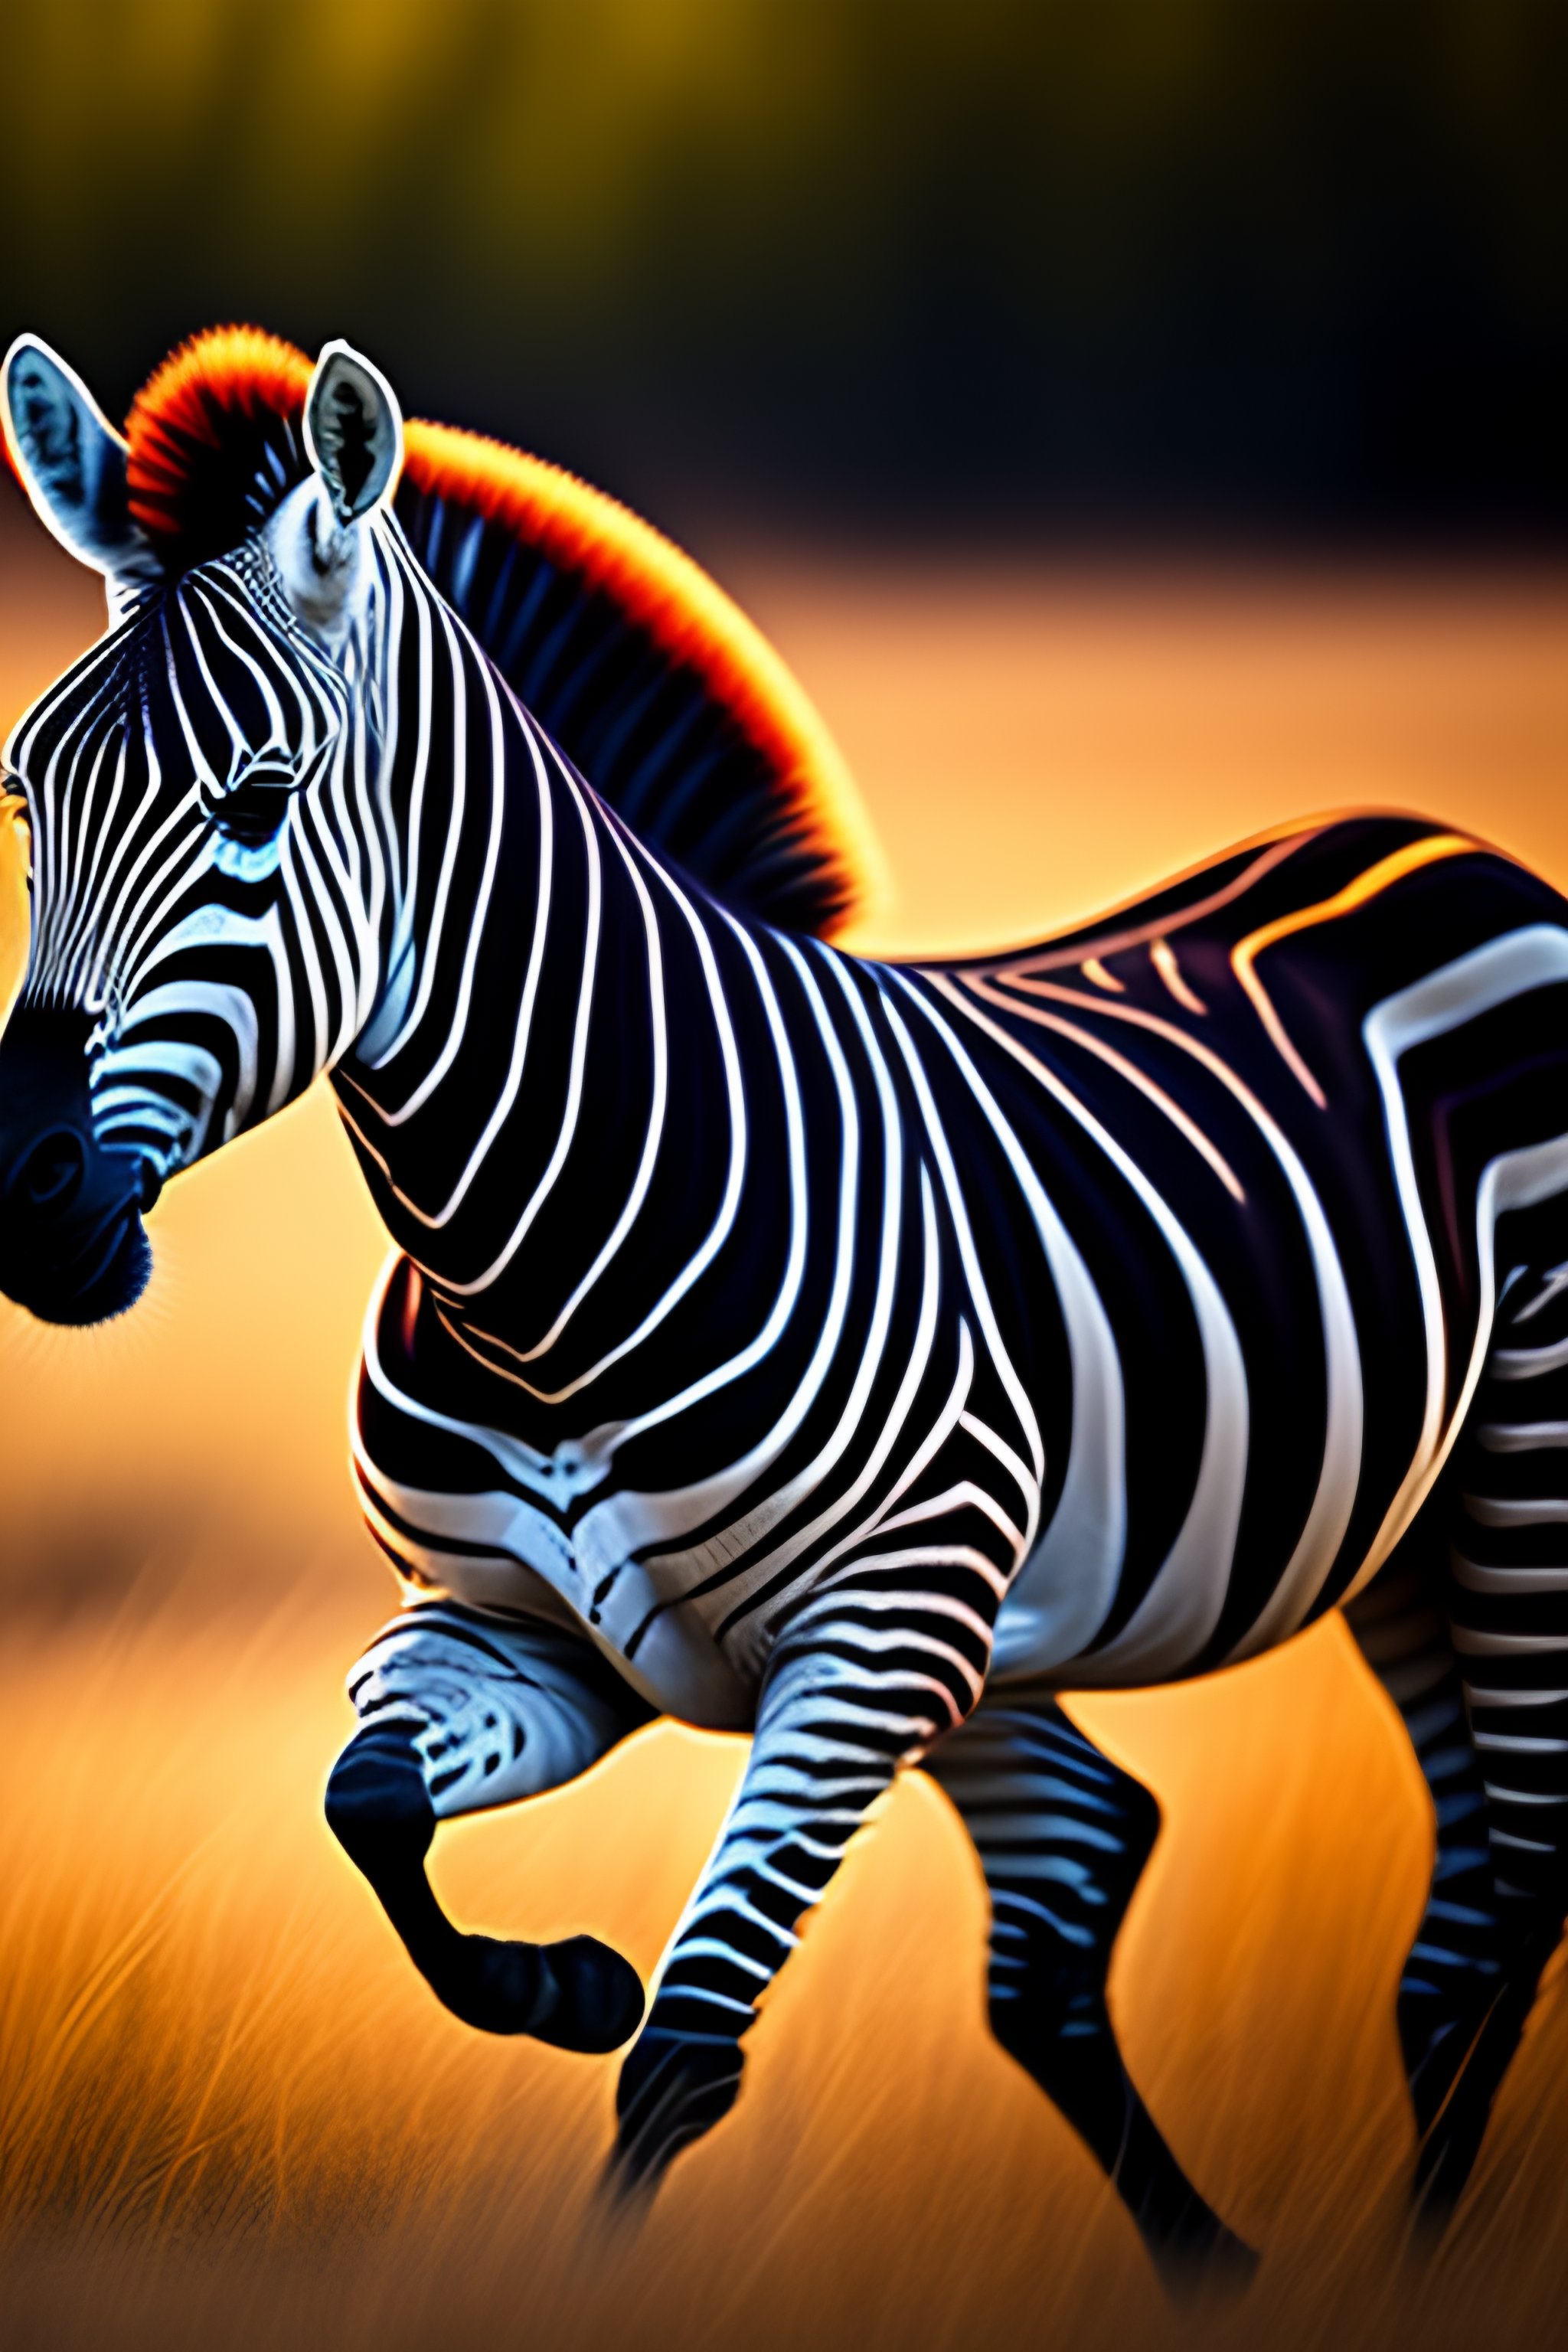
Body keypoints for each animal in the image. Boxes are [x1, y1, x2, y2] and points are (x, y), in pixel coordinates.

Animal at [4, 324, 1568, 2286]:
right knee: (1286, 1890)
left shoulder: (871, 1636)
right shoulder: (514, 1635)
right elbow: (370, 1814)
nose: (22, 1199)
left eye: (262, 799)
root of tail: (1438, 843)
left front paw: (593, 2264)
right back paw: (1280, 2269)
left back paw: (1411, 2269)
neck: (537, 1277)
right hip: (1402, 1529)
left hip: (1518, 1466)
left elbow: (683, 2054)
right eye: (24, 793)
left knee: (1499, 1879)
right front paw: (557, 1978)